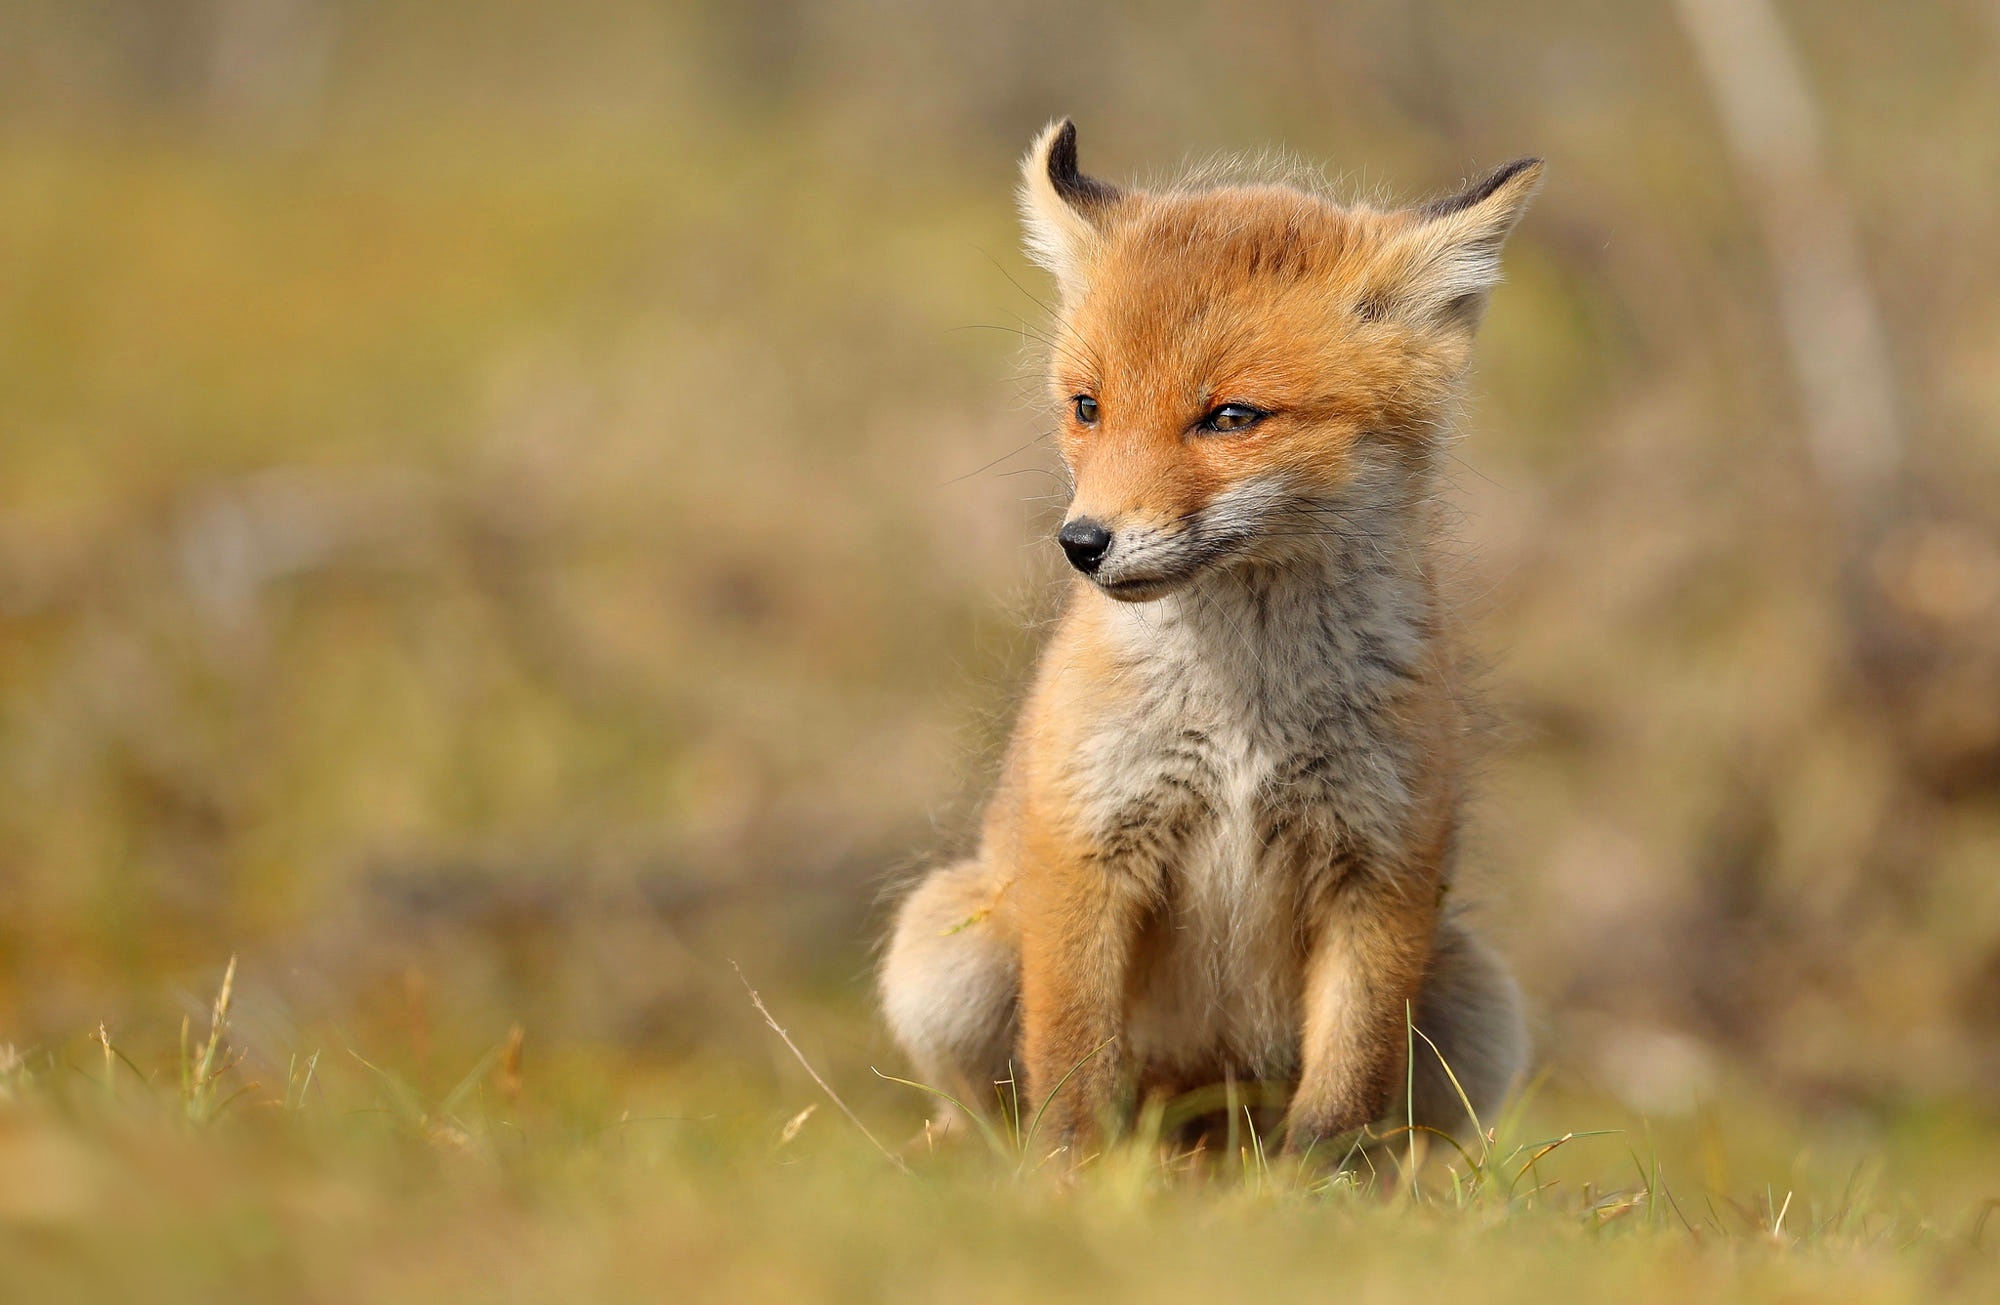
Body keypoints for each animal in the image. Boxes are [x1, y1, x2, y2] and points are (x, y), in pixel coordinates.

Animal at [880, 125, 1544, 1160]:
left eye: (1230, 416)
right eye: (1087, 407)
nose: (1083, 542)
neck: (1245, 717)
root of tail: (1202, 1137)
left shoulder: (1383, 871)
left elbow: (1339, 1100)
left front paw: (1311, 1197)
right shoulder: (1089, 843)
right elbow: (1071, 1074)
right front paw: (1072, 1185)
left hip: (1479, 1003)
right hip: (943, 952)